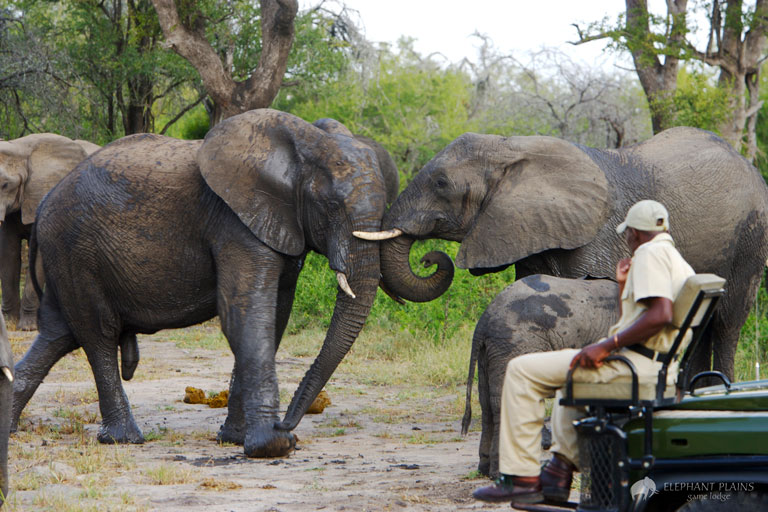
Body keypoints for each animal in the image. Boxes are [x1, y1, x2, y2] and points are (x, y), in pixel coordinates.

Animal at [11, 109, 388, 458]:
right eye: (330, 205)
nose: (287, 423)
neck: (303, 145)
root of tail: (43, 204)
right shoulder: (235, 224)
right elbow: (244, 315)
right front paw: (273, 445)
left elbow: (275, 317)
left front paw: (235, 438)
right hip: (75, 250)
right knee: (97, 333)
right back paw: (124, 438)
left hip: (68, 257)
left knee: (59, 334)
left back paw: (12, 427)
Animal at [371, 127, 768, 380]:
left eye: (440, 184)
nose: (429, 258)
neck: (512, 147)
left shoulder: (601, 235)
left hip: (751, 237)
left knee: (728, 320)